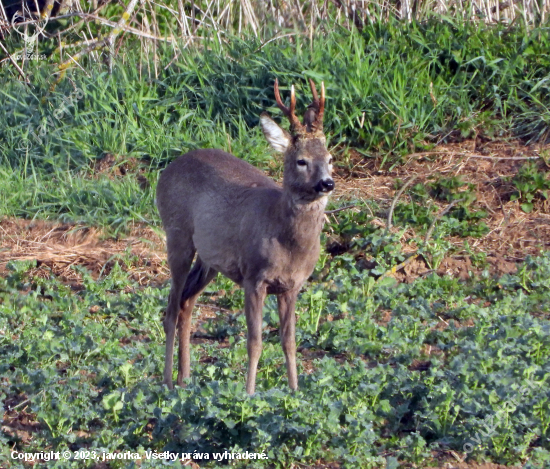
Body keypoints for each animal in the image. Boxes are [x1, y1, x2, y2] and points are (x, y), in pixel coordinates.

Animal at [157, 78, 334, 394]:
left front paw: (295, 392)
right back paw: (167, 382)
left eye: (329, 157)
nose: (327, 183)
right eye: (301, 161)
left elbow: (289, 341)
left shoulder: (293, 286)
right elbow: (255, 341)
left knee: (186, 302)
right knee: (170, 308)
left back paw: (185, 378)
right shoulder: (254, 278)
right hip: (176, 235)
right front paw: (249, 393)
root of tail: (167, 170)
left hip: (209, 259)